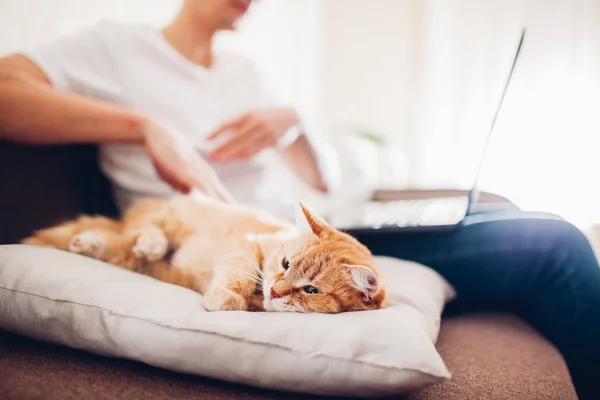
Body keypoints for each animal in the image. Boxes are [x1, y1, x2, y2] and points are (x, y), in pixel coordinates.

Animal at [23, 194, 386, 312]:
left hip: (134, 260)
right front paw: (227, 298)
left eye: (311, 290)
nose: (275, 290)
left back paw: (85, 243)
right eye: (285, 264)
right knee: (138, 230)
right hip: (167, 217)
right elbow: (239, 274)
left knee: (119, 245)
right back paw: (150, 242)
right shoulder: (245, 245)